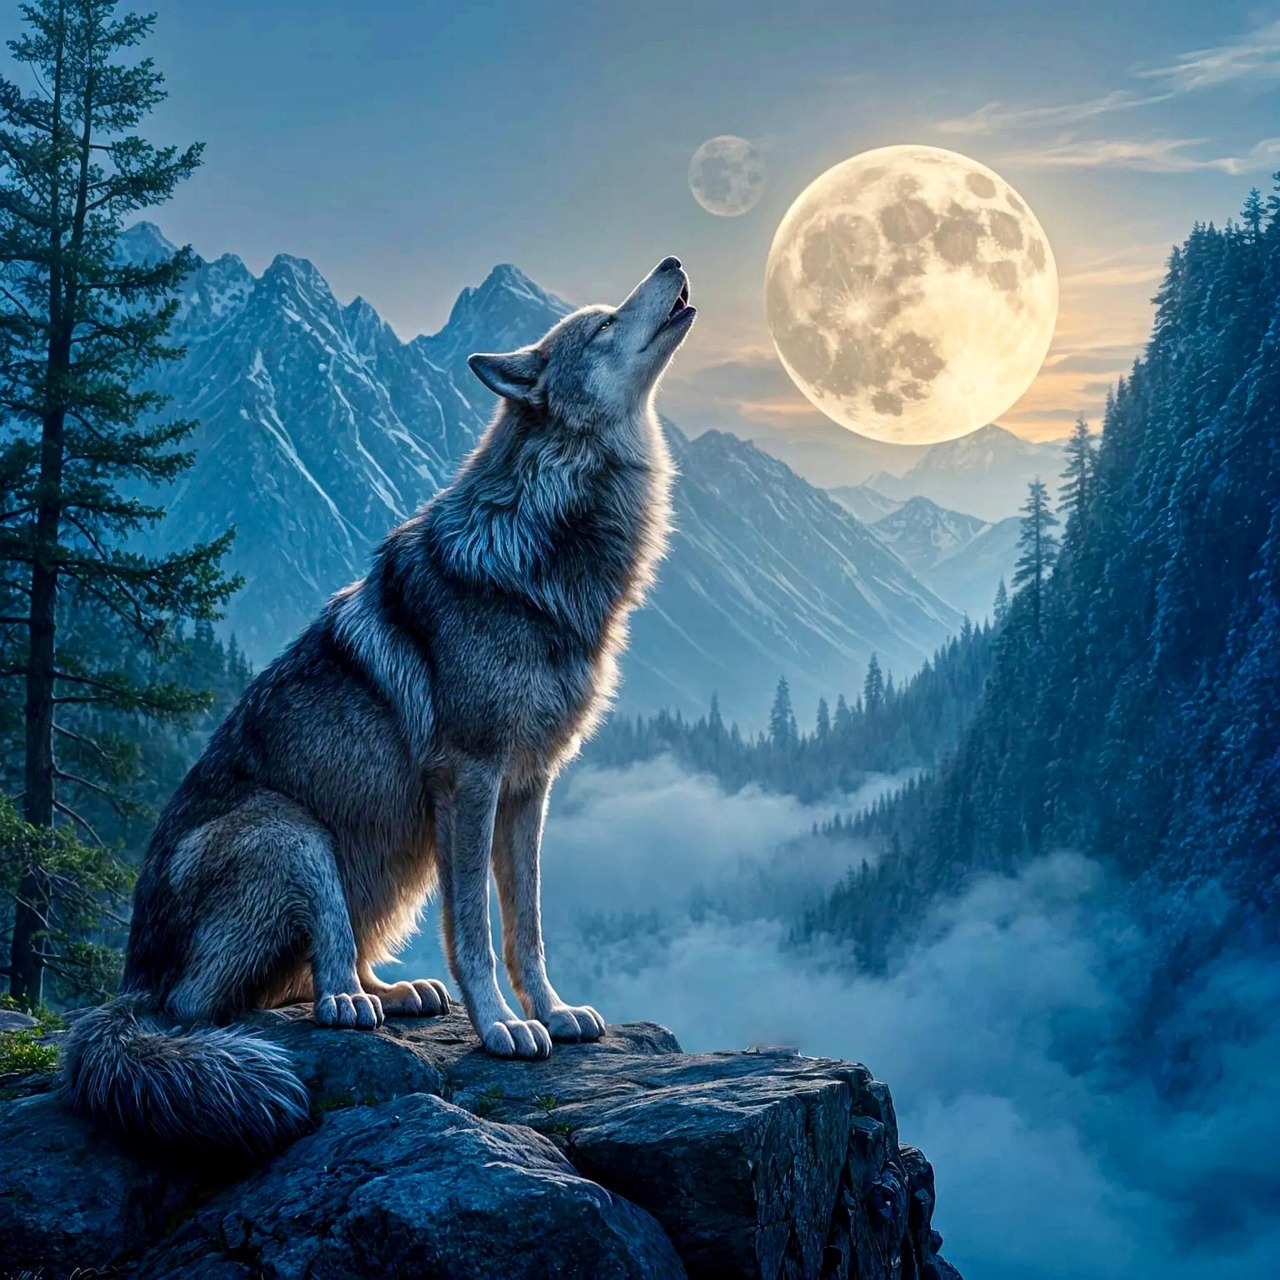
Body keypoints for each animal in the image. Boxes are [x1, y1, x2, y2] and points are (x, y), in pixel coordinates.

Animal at [61, 256, 695, 1153]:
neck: (547, 545)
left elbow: (527, 926)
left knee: (300, 978)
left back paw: (397, 995)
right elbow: (476, 931)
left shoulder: (529, 788)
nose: (671, 262)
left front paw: (554, 1011)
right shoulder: (471, 781)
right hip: (296, 833)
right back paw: (352, 1003)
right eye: (604, 323)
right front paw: (502, 1028)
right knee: (234, 1001)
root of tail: (130, 982)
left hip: (389, 860)